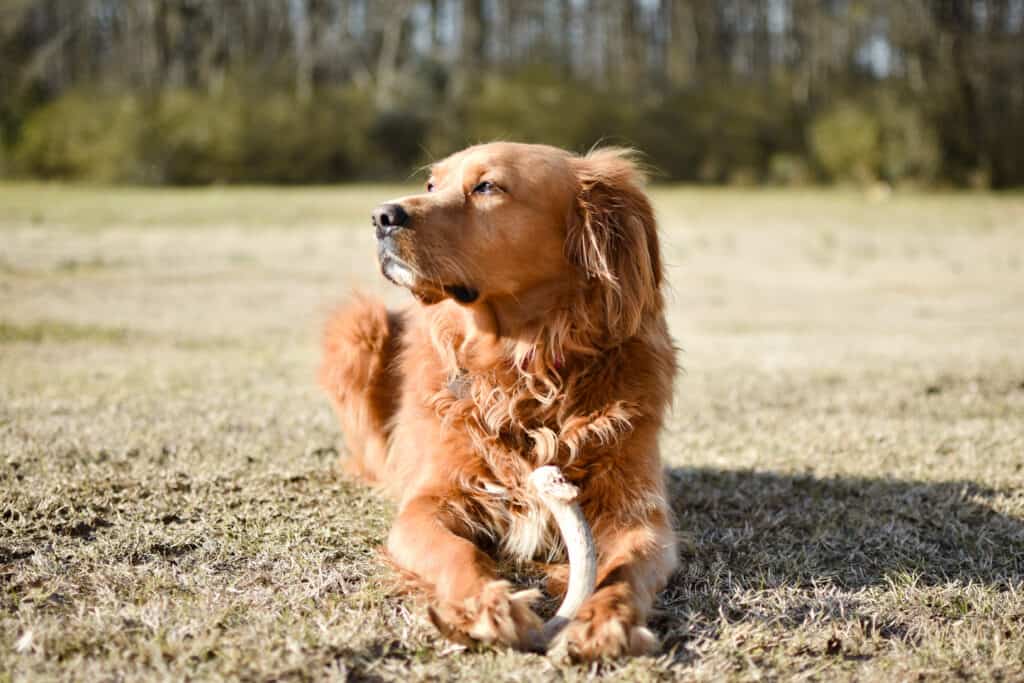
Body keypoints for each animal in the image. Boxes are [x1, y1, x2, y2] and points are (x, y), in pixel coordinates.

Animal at [315, 141, 675, 659]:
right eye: (431, 184)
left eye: (487, 186)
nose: (381, 216)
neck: (524, 364)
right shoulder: (425, 506)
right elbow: (455, 551)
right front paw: (487, 604)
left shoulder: (641, 518)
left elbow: (624, 570)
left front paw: (605, 620)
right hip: (357, 329)